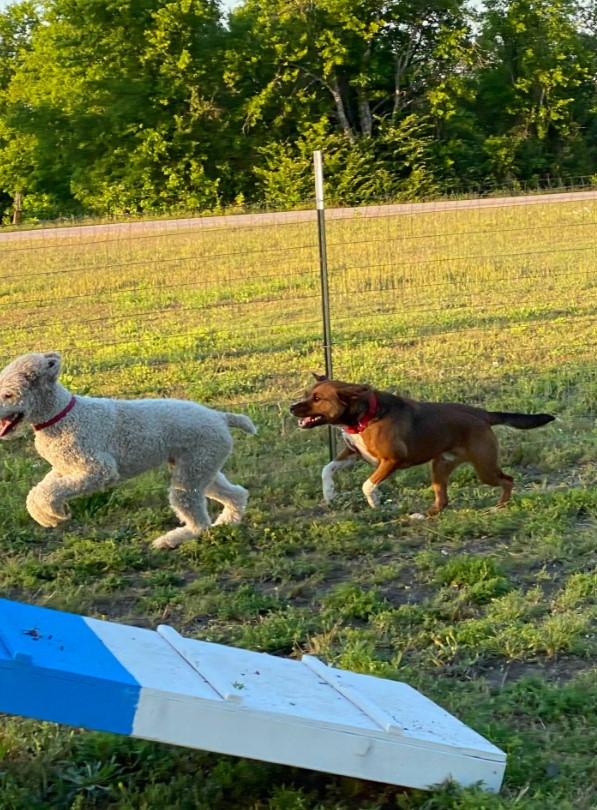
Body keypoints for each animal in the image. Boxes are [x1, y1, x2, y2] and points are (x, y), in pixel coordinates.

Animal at [0, 348, 256, 548]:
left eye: (8, 395)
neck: (62, 415)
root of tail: (220, 416)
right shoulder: (65, 470)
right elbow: (39, 492)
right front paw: (48, 515)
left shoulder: (99, 470)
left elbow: (48, 492)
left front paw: (54, 512)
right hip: (202, 466)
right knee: (236, 495)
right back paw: (224, 525)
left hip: (192, 473)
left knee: (199, 521)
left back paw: (168, 541)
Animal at [288, 374, 556, 516]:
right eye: (307, 394)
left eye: (317, 398)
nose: (291, 408)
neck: (364, 416)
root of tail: (482, 414)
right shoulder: (354, 452)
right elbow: (327, 469)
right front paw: (329, 493)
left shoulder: (392, 460)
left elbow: (367, 485)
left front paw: (374, 501)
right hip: (439, 467)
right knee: (443, 500)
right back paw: (424, 515)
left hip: (485, 467)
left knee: (507, 480)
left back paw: (499, 507)